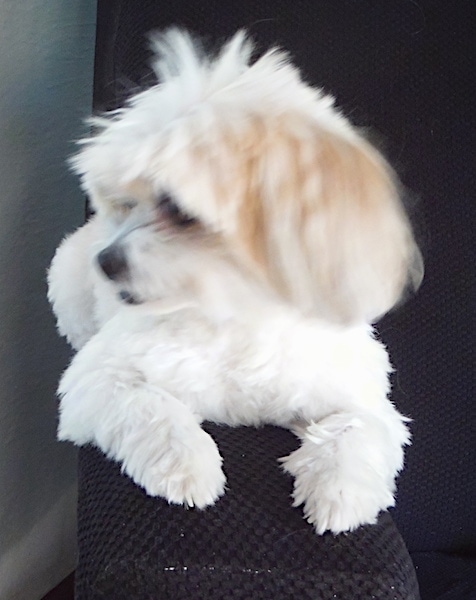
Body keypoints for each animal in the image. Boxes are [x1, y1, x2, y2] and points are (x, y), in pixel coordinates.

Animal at [48, 30, 422, 532]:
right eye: (125, 203)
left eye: (178, 208)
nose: (105, 261)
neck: (231, 316)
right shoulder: (98, 378)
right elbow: (149, 407)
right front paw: (187, 463)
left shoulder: (355, 391)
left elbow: (360, 426)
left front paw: (341, 489)